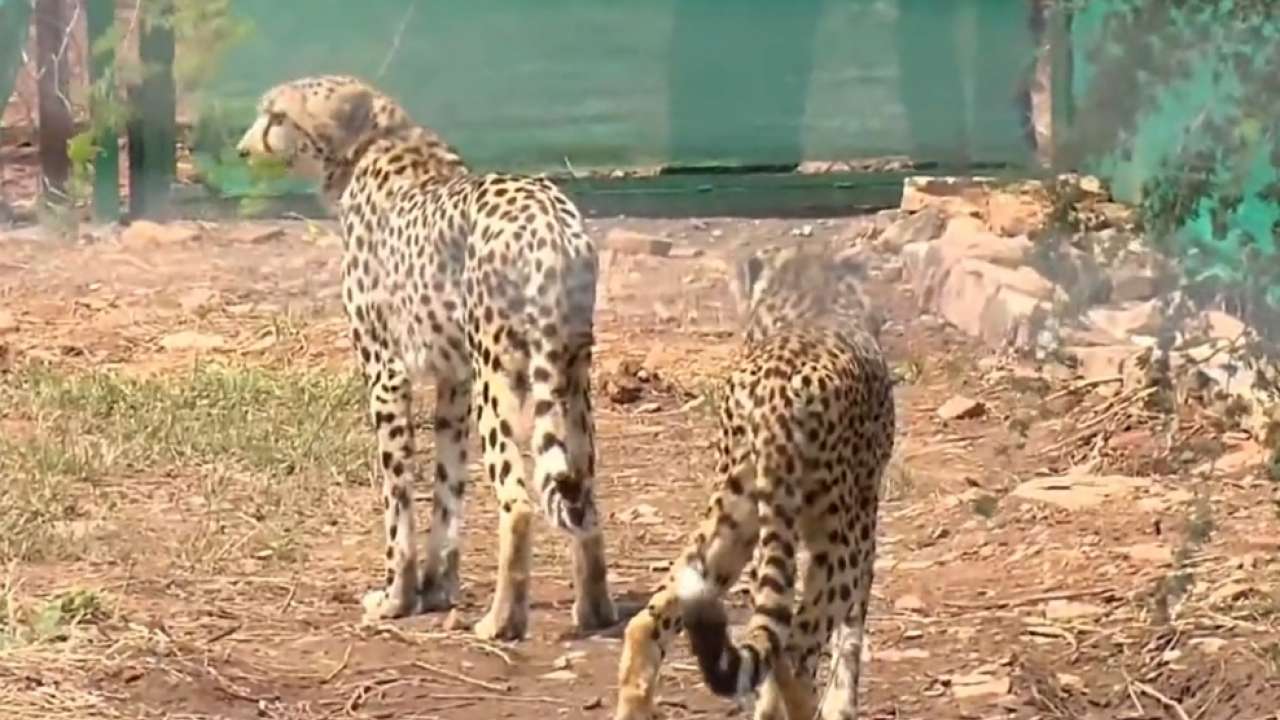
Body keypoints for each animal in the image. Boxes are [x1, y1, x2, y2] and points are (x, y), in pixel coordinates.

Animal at [239, 75, 619, 635]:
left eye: (278, 116)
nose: (243, 149)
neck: (373, 143)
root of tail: (550, 220)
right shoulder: (453, 381)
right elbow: (447, 489)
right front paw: (437, 589)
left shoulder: (386, 374)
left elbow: (398, 500)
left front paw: (397, 596)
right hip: (571, 377)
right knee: (583, 496)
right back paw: (594, 608)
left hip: (497, 377)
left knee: (519, 500)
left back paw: (500, 621)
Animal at [614, 243, 896, 712]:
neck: (810, 295)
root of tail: (776, 395)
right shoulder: (863, 527)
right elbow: (851, 633)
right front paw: (841, 704)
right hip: (837, 541)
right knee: (794, 656)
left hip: (734, 519)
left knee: (648, 622)